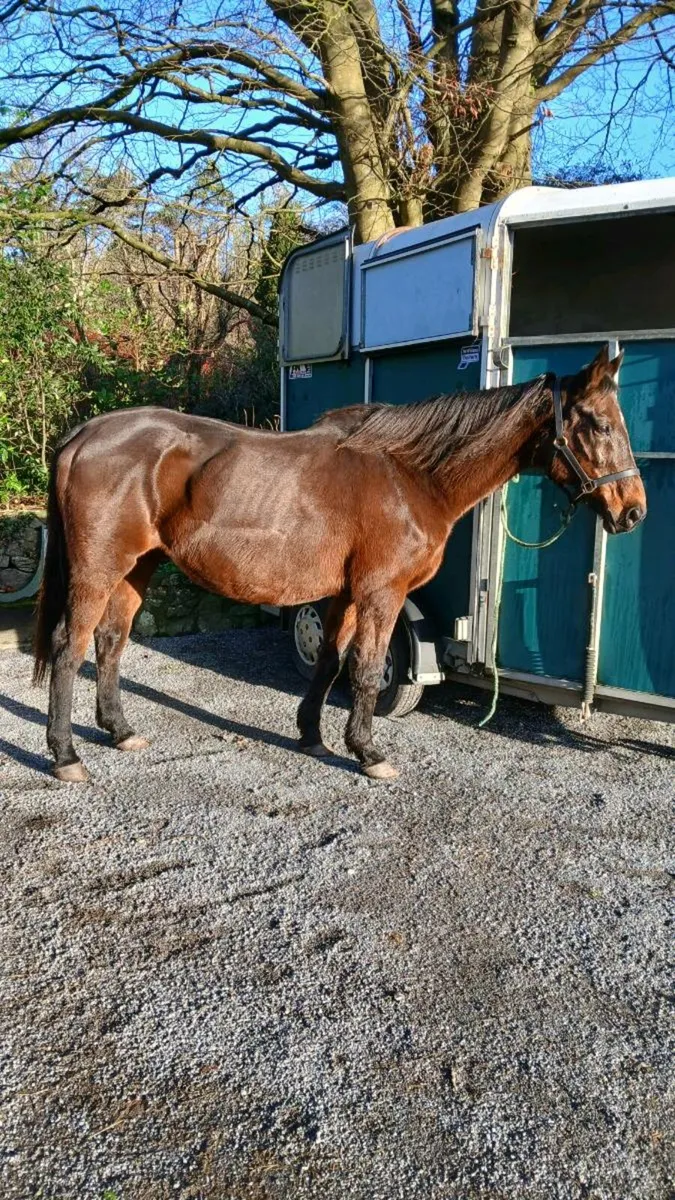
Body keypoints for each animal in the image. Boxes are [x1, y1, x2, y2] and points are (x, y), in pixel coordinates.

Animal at [33, 344, 645, 783]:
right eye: (599, 423)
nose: (633, 510)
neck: (410, 476)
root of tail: (84, 435)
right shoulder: (382, 591)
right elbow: (368, 670)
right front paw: (368, 752)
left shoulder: (346, 592)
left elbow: (330, 663)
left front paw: (312, 735)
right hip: (97, 570)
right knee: (70, 646)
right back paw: (65, 756)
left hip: (137, 568)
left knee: (111, 642)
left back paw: (119, 731)